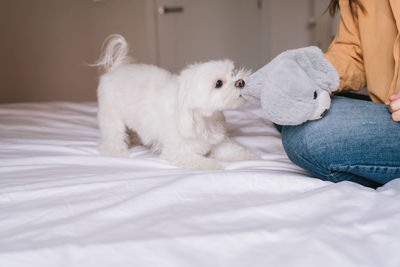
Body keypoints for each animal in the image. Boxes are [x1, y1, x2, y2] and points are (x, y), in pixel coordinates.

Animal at [94, 34, 256, 170]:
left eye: (233, 73)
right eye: (218, 83)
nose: (241, 82)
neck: (203, 118)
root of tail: (116, 69)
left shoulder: (217, 141)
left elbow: (233, 150)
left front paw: (250, 156)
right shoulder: (178, 152)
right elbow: (200, 161)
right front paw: (214, 166)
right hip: (111, 115)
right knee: (113, 135)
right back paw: (116, 151)